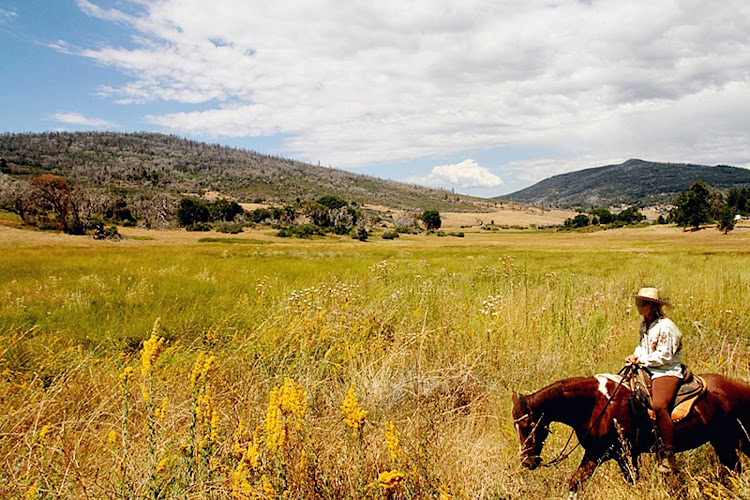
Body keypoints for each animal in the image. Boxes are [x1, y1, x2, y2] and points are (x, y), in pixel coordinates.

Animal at [516, 370, 750, 498]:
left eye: (528, 424)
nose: (527, 462)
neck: (596, 404)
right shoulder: (595, 454)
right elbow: (575, 483)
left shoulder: (624, 455)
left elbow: (634, 482)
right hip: (724, 442)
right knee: (735, 469)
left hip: (737, 439)